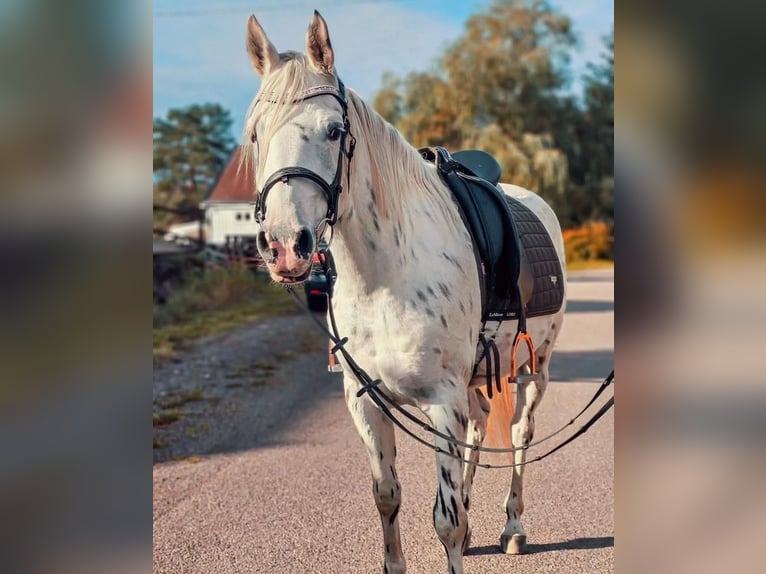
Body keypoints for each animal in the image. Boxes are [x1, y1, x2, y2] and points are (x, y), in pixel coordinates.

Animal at [243, 10, 568, 574]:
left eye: (333, 131)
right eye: (256, 134)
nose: (284, 244)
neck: (383, 279)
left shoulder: (441, 400)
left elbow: (446, 520)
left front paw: (466, 529)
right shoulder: (366, 404)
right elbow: (388, 496)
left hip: (533, 369)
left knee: (519, 439)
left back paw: (513, 526)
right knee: (479, 430)